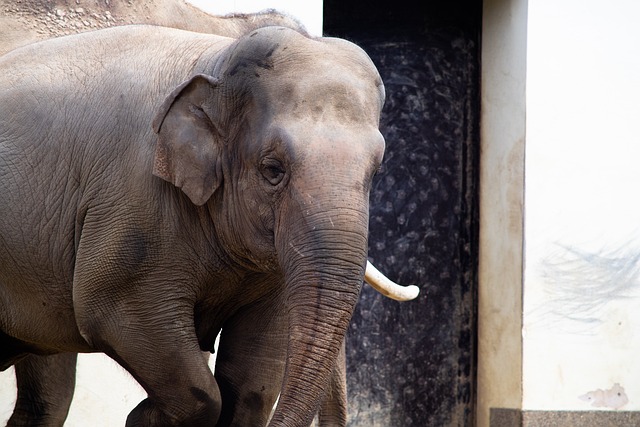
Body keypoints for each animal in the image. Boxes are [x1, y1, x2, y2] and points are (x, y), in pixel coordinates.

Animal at [0, 25, 398, 426]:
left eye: (376, 171)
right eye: (273, 169)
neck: (216, 58)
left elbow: (252, 385)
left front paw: (147, 412)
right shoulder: (131, 205)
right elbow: (111, 312)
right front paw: (144, 415)